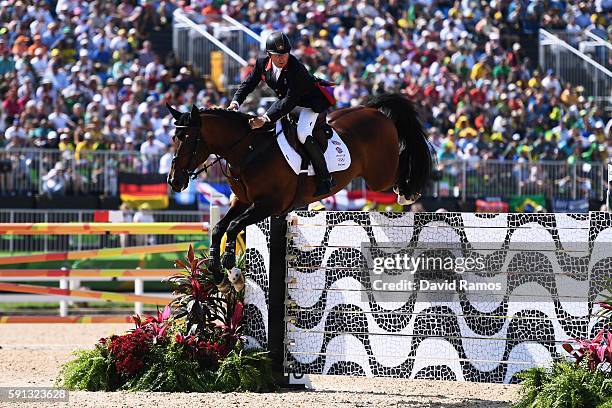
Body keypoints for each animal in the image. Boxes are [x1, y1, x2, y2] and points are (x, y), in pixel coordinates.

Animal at [167, 93, 436, 290]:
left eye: (188, 138)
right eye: (173, 138)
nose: (173, 182)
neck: (248, 150)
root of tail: (373, 110)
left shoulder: (269, 204)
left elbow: (233, 227)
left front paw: (234, 274)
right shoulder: (243, 201)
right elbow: (219, 229)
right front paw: (219, 275)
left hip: (380, 175)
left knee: (403, 159)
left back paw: (408, 192)